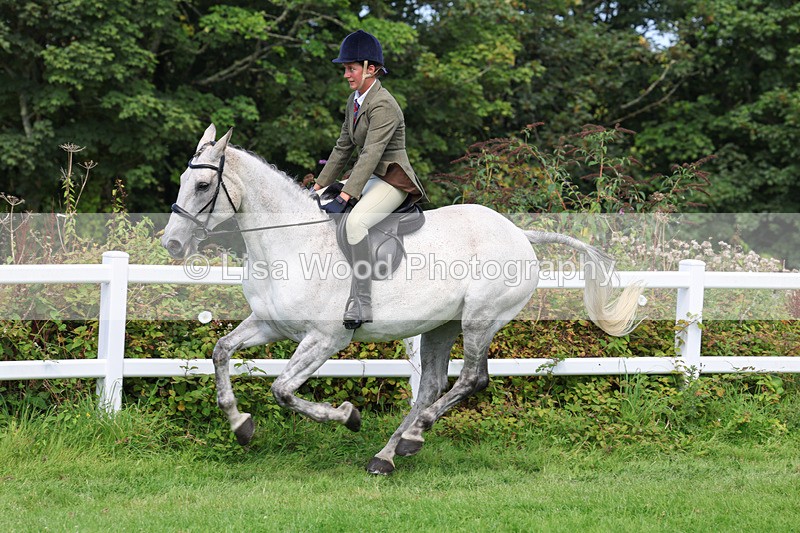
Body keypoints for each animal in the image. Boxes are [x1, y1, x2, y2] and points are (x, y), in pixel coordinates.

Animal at [161, 124, 644, 475]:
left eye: (202, 185)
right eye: (183, 180)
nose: (172, 244)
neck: (290, 242)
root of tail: (519, 233)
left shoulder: (325, 338)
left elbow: (282, 390)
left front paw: (347, 416)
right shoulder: (268, 323)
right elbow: (221, 351)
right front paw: (241, 425)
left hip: (480, 320)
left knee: (471, 380)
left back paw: (413, 437)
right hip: (441, 326)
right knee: (431, 385)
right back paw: (389, 454)